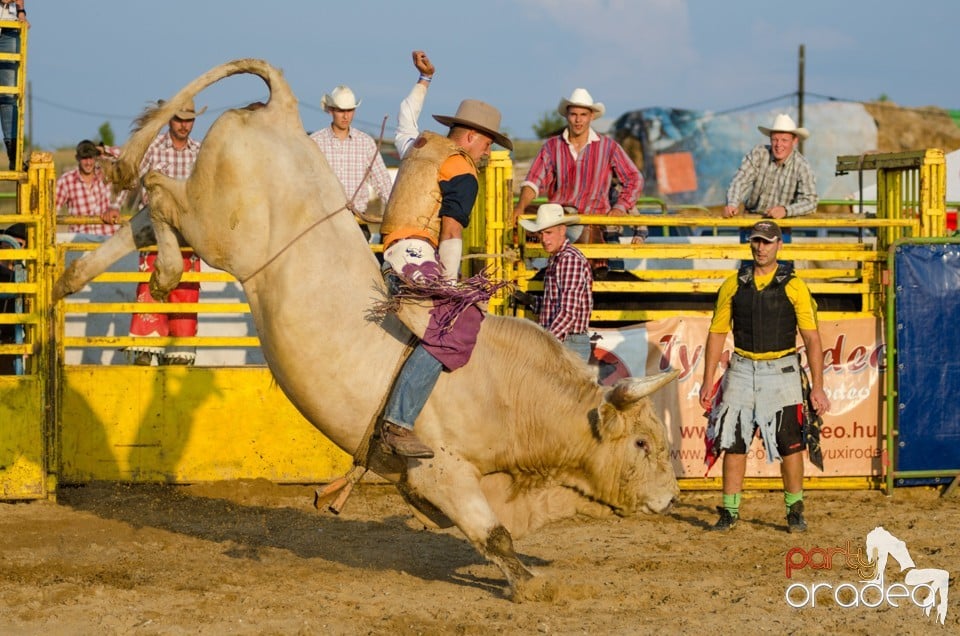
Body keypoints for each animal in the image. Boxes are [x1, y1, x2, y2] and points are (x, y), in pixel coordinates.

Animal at [54, 59, 684, 600]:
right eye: (642, 443)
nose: (671, 497)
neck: (509, 393)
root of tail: (281, 112)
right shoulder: (443, 474)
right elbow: (493, 533)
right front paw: (534, 586)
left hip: (208, 226)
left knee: (143, 216)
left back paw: (72, 276)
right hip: (217, 228)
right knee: (159, 190)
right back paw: (160, 271)